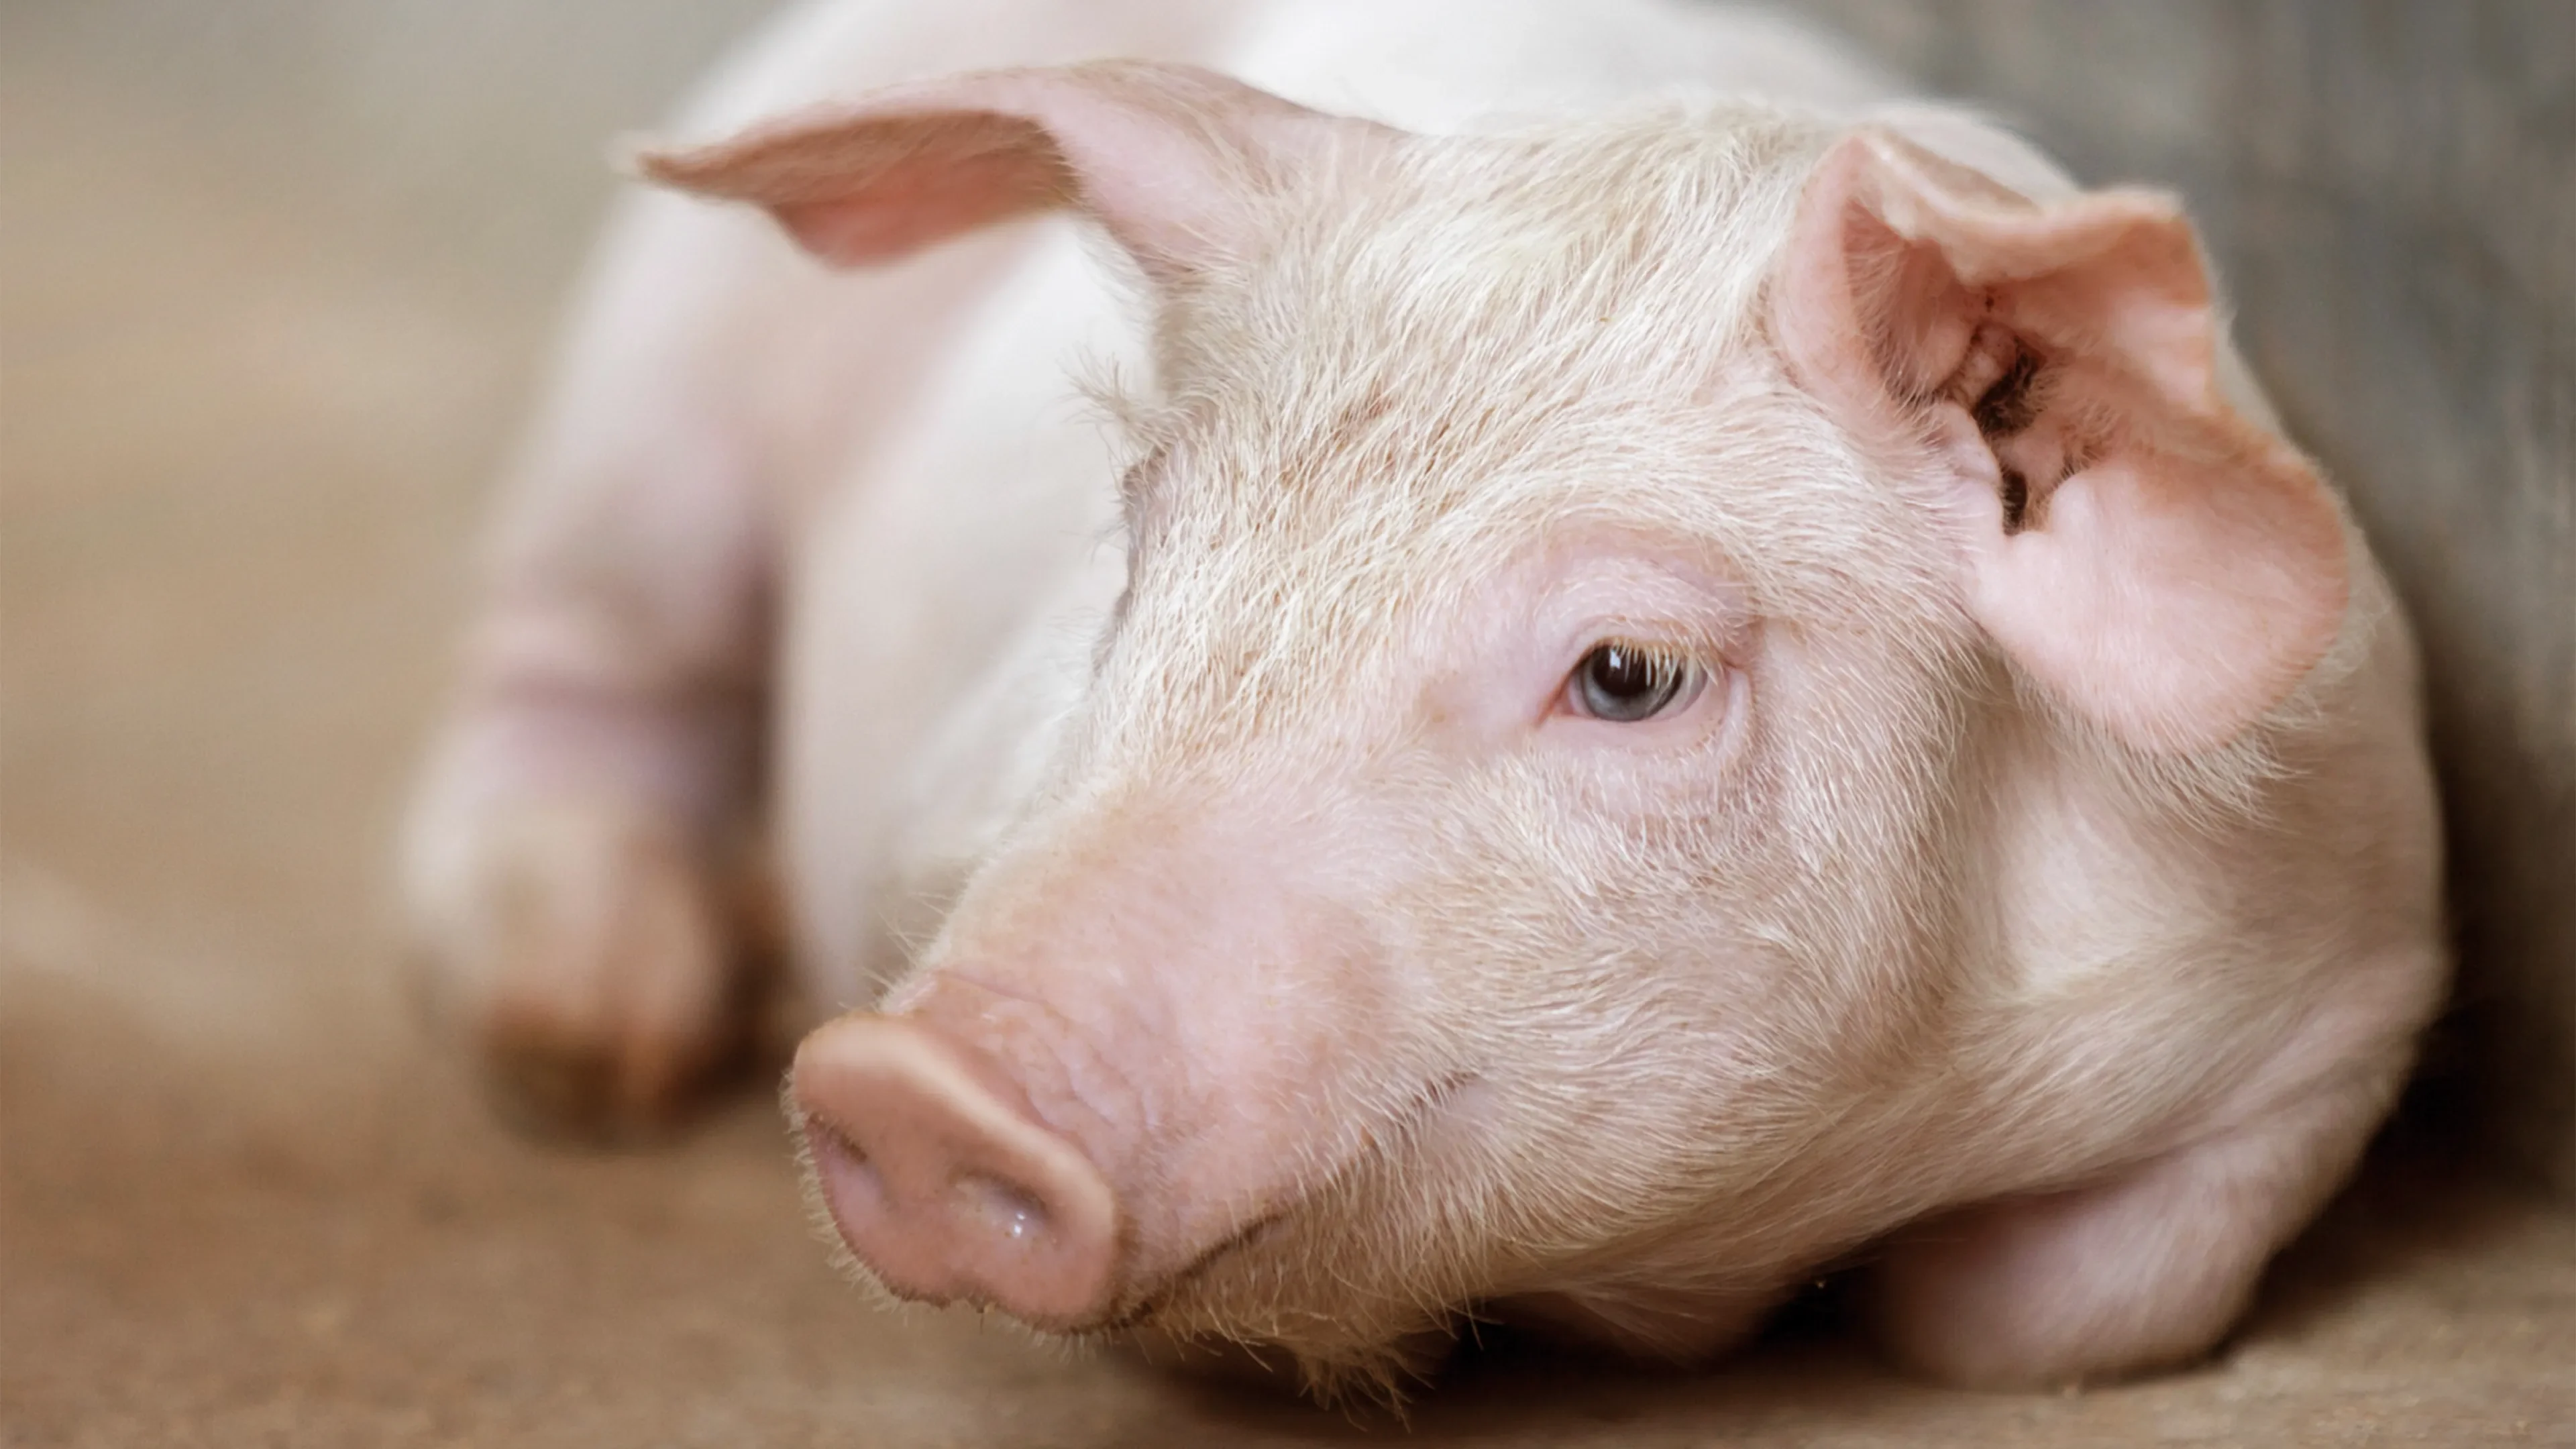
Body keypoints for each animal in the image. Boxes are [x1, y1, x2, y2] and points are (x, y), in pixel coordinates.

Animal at [400, 0, 2448, 1401]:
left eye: (1628, 673)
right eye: (1147, 528)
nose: (908, 1083)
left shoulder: (2350, 961)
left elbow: (2057, 1310)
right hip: (651, 396)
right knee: (565, 669)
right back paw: (590, 1031)